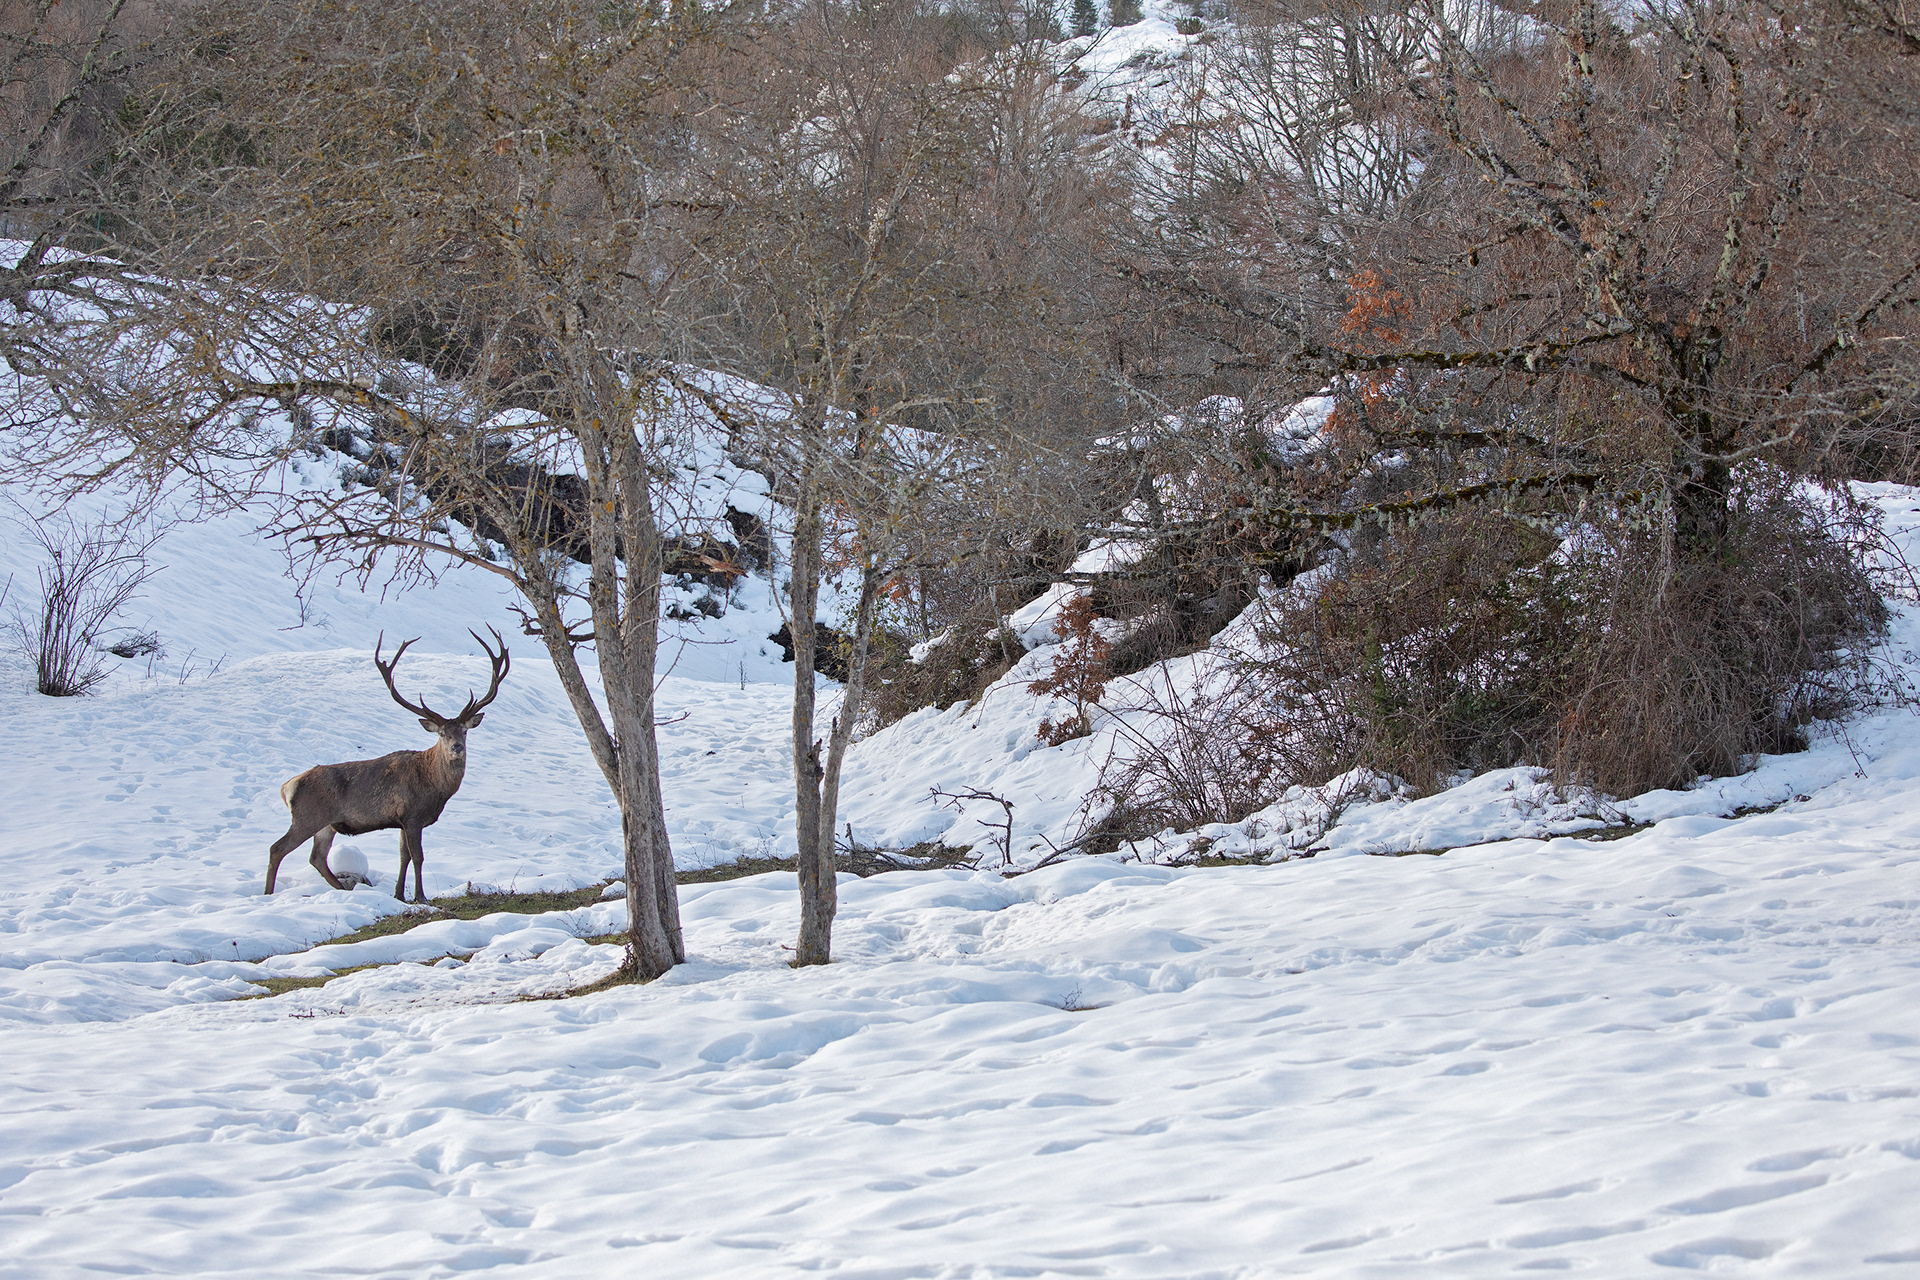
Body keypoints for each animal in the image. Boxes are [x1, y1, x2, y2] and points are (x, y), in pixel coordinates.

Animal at [265, 627, 510, 902]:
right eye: (442, 734)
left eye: (464, 732)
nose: (457, 747)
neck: (435, 787)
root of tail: (287, 786)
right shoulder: (412, 815)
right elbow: (418, 857)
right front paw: (420, 896)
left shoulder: (401, 820)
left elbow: (403, 856)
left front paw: (399, 895)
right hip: (308, 815)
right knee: (277, 848)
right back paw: (267, 894)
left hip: (327, 824)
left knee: (317, 857)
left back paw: (341, 889)